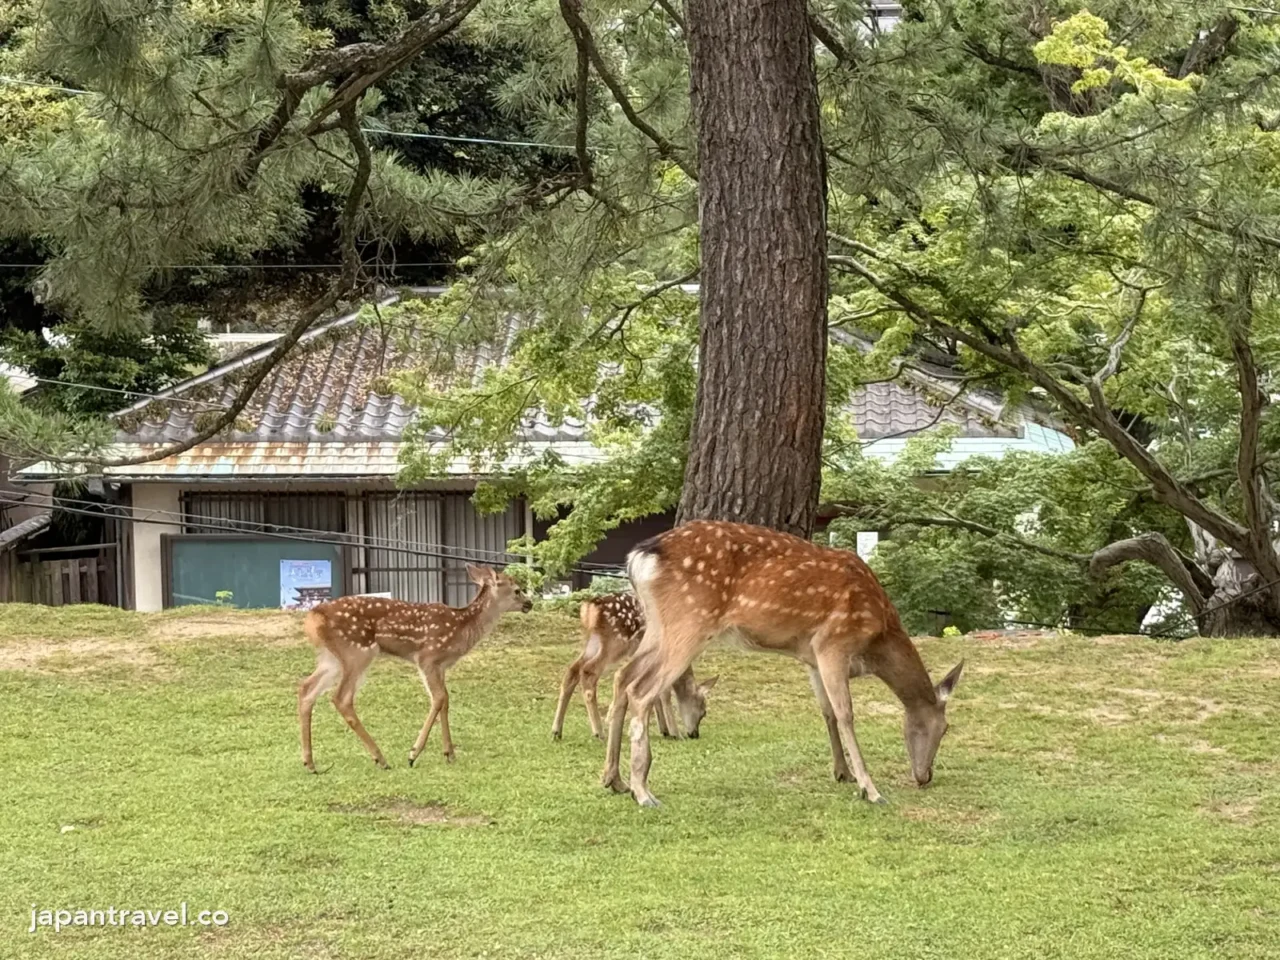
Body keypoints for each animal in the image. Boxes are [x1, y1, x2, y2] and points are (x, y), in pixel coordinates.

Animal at [298, 563, 531, 773]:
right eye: (517, 589)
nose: (529, 603)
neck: (460, 629)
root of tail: (314, 617)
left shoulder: (441, 666)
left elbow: (445, 700)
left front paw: (449, 753)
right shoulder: (428, 657)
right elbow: (439, 698)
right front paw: (414, 754)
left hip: (333, 659)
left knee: (306, 688)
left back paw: (310, 763)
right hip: (357, 651)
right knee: (341, 698)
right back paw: (380, 758)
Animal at [551, 592, 718, 742]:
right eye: (703, 711)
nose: (695, 734)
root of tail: (590, 608)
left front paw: (664, 730)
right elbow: (663, 692)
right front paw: (675, 733)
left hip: (593, 642)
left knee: (572, 670)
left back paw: (556, 731)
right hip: (616, 642)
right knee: (589, 671)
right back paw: (599, 731)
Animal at [601, 520, 964, 807]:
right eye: (945, 727)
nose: (925, 776)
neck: (878, 638)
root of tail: (640, 558)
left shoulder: (811, 657)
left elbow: (827, 712)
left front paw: (842, 772)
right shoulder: (833, 642)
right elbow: (846, 713)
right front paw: (870, 789)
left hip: (658, 627)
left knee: (622, 677)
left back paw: (614, 779)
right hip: (690, 621)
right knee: (641, 690)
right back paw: (642, 791)